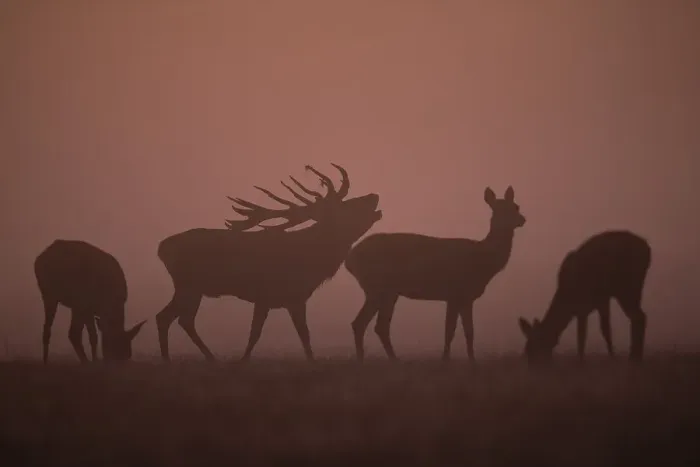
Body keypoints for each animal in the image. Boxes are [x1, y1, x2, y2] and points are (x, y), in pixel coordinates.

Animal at [155, 163, 382, 362]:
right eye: (346, 206)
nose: (374, 195)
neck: (311, 259)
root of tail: (161, 248)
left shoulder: (289, 298)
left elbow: (296, 334)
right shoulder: (271, 295)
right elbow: (264, 333)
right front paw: (242, 361)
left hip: (191, 288)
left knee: (172, 318)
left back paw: (195, 359)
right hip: (189, 285)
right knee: (174, 318)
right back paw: (183, 360)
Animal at [345, 186, 526, 362]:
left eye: (516, 206)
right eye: (499, 210)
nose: (522, 219)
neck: (484, 261)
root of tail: (349, 260)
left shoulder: (464, 297)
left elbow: (468, 331)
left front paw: (470, 360)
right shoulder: (456, 292)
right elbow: (451, 330)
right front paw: (447, 360)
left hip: (388, 291)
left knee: (376, 325)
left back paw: (388, 360)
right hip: (377, 287)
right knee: (365, 323)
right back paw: (370, 360)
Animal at [518, 230, 651, 364]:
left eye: (534, 349)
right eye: (527, 350)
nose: (532, 365)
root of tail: (647, 249)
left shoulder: (585, 304)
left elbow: (583, 336)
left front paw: (582, 361)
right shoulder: (600, 301)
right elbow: (604, 329)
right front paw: (612, 356)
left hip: (628, 287)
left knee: (638, 316)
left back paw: (634, 357)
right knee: (638, 316)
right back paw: (636, 356)